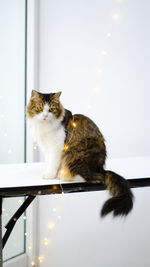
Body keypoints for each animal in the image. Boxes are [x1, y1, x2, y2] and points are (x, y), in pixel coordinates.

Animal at [27, 90, 134, 218]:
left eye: (52, 109)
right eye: (40, 108)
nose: (45, 116)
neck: (44, 126)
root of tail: (101, 168)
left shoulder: (56, 147)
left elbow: (53, 163)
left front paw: (51, 175)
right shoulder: (46, 148)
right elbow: (49, 162)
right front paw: (49, 172)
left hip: (74, 153)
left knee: (93, 177)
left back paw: (65, 175)